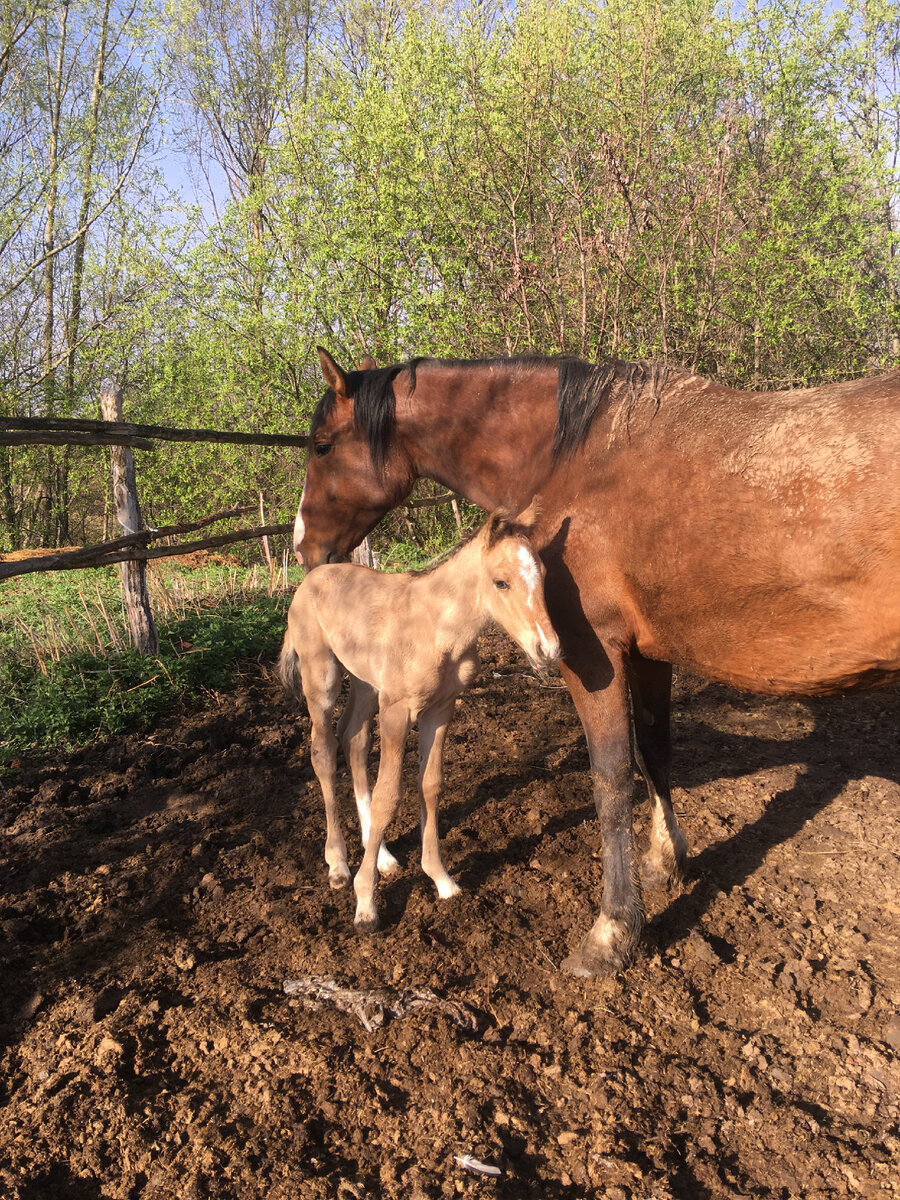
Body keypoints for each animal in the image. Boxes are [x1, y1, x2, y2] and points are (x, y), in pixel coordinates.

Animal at [294, 345, 900, 974]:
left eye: (321, 446)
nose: (303, 547)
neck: (578, 460)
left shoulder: (592, 656)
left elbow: (611, 780)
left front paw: (611, 932)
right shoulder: (650, 655)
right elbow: (655, 752)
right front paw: (665, 861)